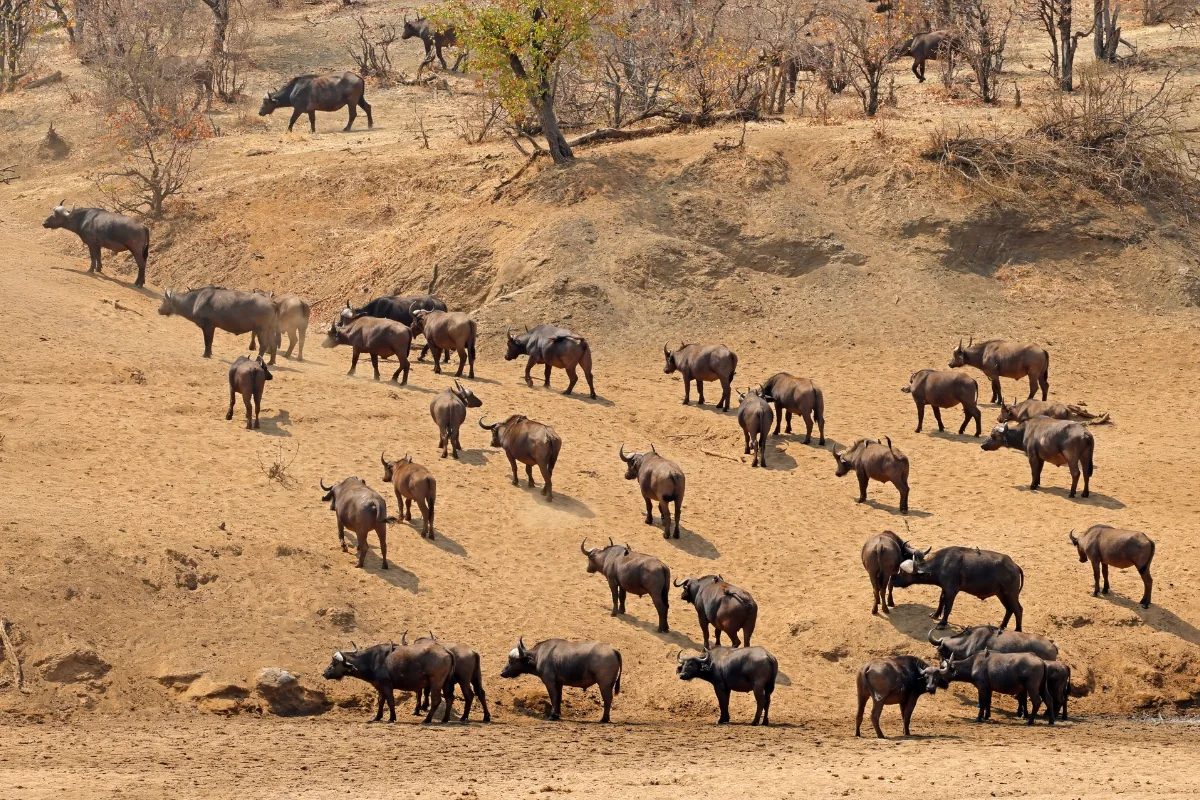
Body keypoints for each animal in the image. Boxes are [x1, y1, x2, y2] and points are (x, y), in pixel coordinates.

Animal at [322, 641, 454, 723]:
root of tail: (445, 650)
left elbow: (390, 701)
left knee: (436, 700)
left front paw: (392, 718)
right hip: (446, 682)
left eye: (334, 663)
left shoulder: (386, 685)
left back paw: (427, 719)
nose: (324, 673)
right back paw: (445, 719)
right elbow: (381, 701)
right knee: (450, 698)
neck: (371, 660)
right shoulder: (379, 686)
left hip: (436, 683)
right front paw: (377, 717)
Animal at [893, 546, 1024, 631]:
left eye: (903, 573)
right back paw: (1001, 626)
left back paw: (1018, 630)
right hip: (1001, 594)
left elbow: (948, 607)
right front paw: (935, 615)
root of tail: (1015, 565)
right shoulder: (945, 588)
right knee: (1009, 609)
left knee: (1018, 609)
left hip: (1010, 594)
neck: (943, 564)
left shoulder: (952, 591)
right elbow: (941, 601)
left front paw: (942, 623)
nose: (892, 579)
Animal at [924, 650, 1054, 725]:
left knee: (1037, 701)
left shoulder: (981, 688)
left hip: (1032, 687)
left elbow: (982, 702)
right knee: (1049, 700)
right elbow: (988, 702)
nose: (932, 687)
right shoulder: (989, 689)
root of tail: (1041, 660)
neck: (973, 664)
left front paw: (979, 717)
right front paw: (986, 716)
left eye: (938, 674)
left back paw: (1030, 721)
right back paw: (1051, 721)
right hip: (1042, 687)